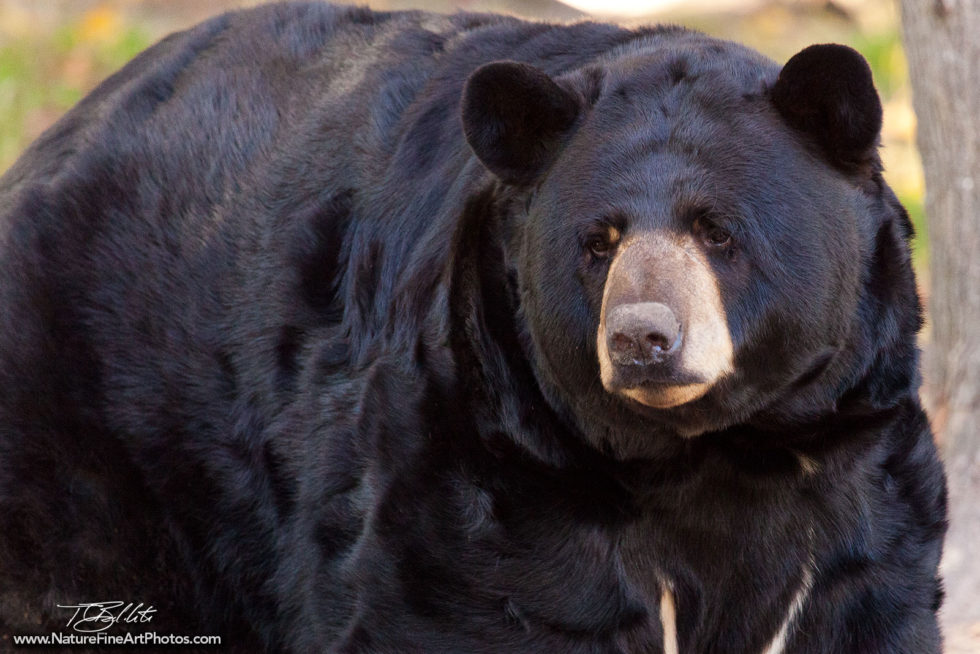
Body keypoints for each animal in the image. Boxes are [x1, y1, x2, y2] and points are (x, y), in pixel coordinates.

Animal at [1, 1, 948, 654]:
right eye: (597, 242)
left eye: (718, 231)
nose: (642, 340)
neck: (712, 453)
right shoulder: (488, 458)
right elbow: (460, 609)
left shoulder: (855, 450)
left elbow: (871, 599)